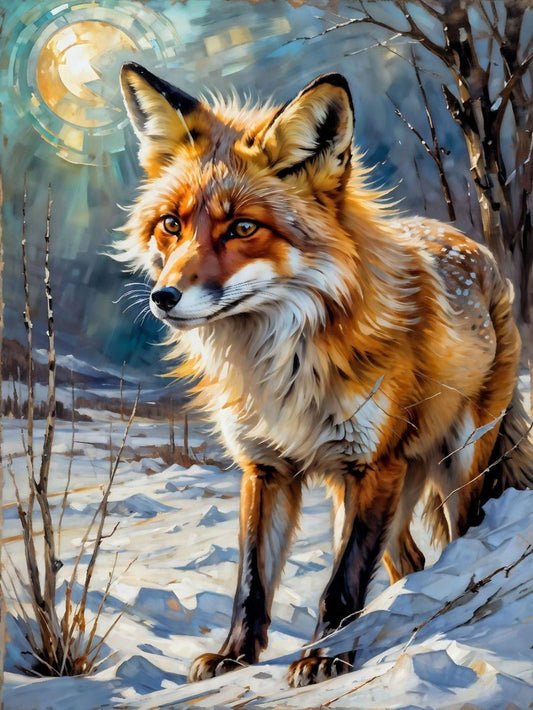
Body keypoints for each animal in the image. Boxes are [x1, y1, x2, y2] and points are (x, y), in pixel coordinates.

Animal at [117, 62, 533, 687]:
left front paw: (324, 659)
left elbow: (341, 584)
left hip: (455, 465)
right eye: (171, 224)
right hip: (366, 485)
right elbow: (252, 580)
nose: (163, 297)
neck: (280, 368)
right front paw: (235, 655)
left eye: (243, 229)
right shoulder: (265, 467)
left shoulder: (372, 465)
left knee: (460, 537)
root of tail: (476, 249)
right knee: (408, 559)